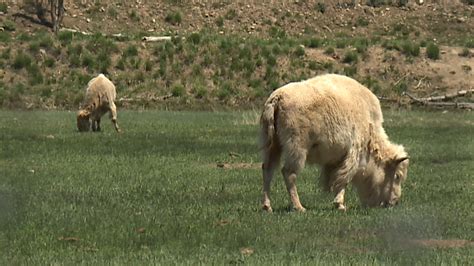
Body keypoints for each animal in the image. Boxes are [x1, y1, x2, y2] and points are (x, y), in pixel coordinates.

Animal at [260, 74, 408, 212]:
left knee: (268, 169)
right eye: (397, 176)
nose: (394, 202)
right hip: (297, 150)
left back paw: (267, 207)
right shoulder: (352, 154)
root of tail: (277, 97)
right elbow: (343, 179)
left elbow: (333, 178)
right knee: (289, 173)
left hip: (272, 146)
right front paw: (340, 205)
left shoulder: (335, 159)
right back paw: (299, 207)